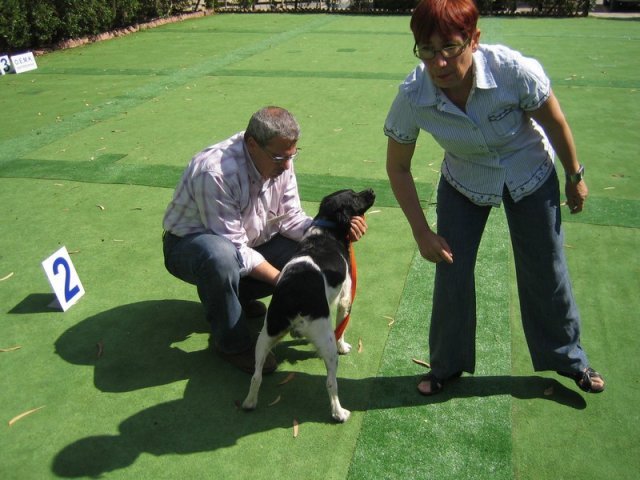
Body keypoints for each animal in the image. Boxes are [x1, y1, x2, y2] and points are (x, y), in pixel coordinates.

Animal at [244, 188, 376, 420]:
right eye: (354, 196)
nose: (371, 190)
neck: (326, 228)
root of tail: (292, 293)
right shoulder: (345, 298)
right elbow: (342, 329)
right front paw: (344, 346)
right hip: (326, 342)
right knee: (331, 383)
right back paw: (339, 413)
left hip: (265, 336)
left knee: (256, 376)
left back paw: (250, 402)